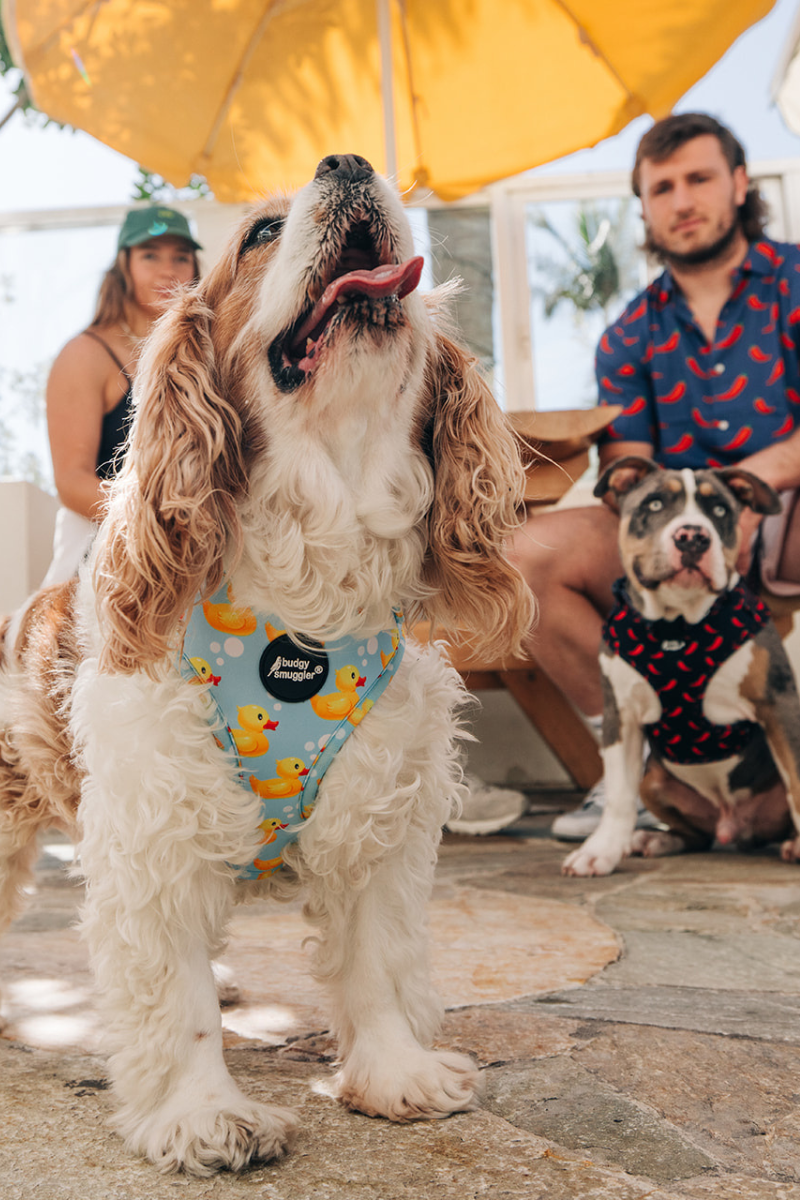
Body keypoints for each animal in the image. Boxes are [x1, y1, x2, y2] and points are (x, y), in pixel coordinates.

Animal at [3, 152, 534, 1171]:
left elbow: (378, 964)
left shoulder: (379, 816)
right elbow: (174, 1001)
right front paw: (205, 1116)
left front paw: (397, 1075)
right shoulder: (153, 829)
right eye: (258, 232)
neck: (306, 612)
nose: (349, 160)